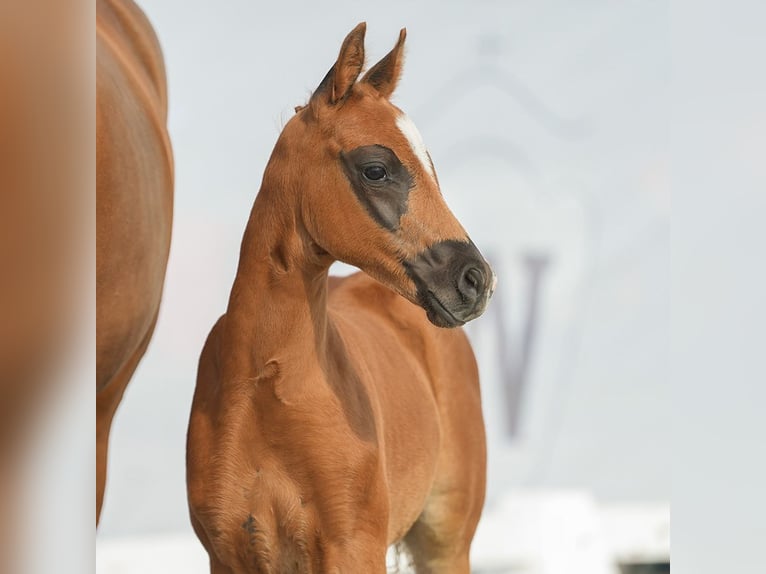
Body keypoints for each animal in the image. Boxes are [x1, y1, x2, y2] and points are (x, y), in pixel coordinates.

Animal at [189, 24, 496, 572]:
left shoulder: (353, 548)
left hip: (445, 542)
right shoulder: (228, 555)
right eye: (375, 169)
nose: (474, 279)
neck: (265, 389)